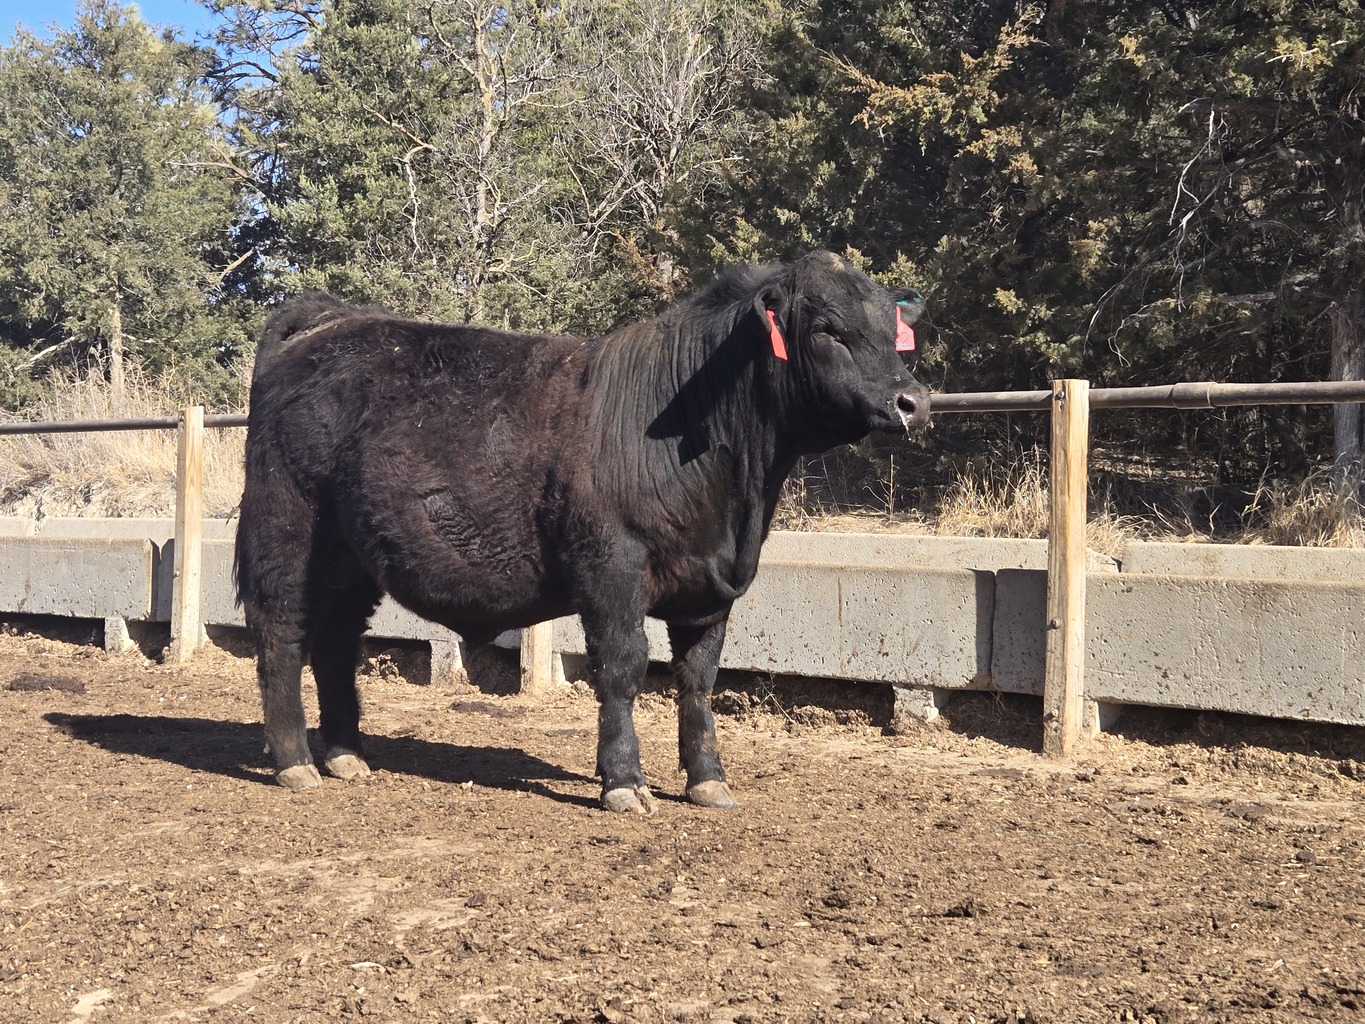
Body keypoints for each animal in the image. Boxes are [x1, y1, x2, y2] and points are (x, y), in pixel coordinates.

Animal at [235, 251, 931, 814]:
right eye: (826, 328)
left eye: (892, 332)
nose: (914, 401)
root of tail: (331, 319)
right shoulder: (611, 565)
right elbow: (622, 667)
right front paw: (624, 782)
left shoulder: (711, 588)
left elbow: (699, 679)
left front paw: (708, 780)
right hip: (287, 527)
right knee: (282, 633)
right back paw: (296, 761)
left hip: (350, 557)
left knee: (335, 638)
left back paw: (346, 754)